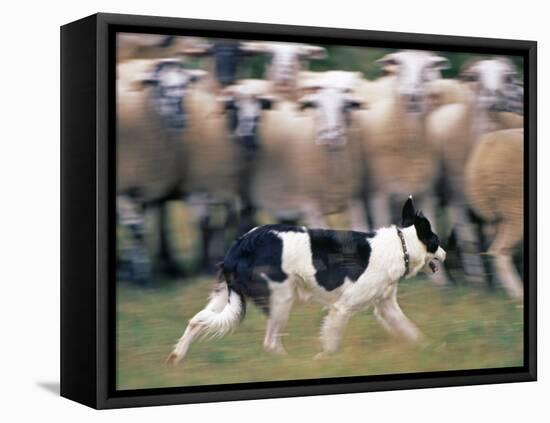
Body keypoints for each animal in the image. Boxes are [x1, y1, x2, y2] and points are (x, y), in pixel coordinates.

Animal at [430, 56, 524, 284]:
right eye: (475, 77)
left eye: (507, 76)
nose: (491, 96)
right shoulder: (458, 200)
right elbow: (469, 242)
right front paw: (478, 281)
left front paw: (494, 282)